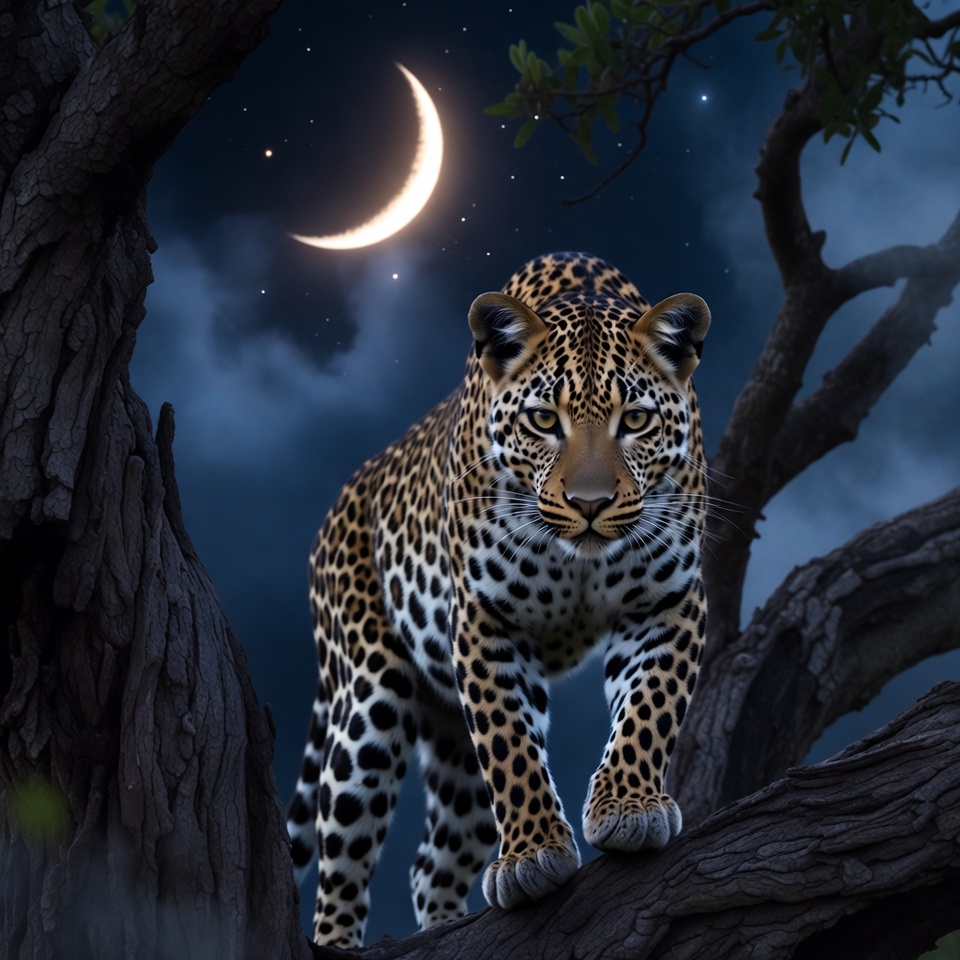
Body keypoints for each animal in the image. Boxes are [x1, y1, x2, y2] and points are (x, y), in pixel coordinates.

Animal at [286, 252, 711, 947]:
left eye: (635, 420)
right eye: (543, 420)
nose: (590, 505)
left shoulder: (667, 601)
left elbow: (650, 707)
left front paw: (629, 806)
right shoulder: (486, 620)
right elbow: (511, 744)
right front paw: (535, 853)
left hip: (448, 733)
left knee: (433, 860)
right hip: (366, 700)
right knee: (342, 852)